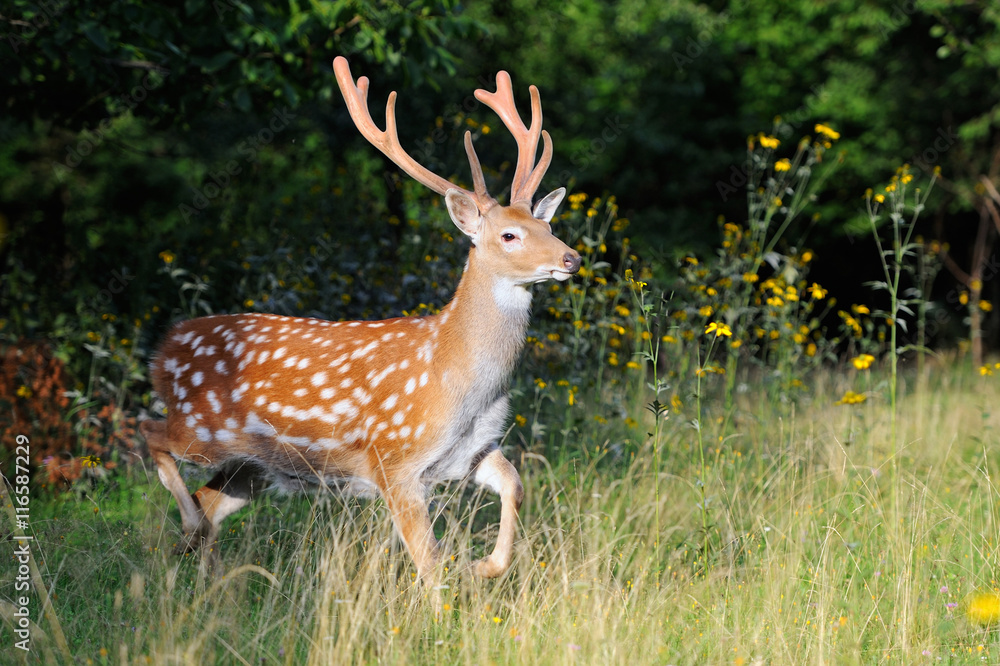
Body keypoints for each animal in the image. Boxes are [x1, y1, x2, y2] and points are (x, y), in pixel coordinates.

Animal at [137, 54, 584, 580]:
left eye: (547, 225)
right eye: (510, 236)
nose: (572, 257)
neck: (458, 379)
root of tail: (163, 350)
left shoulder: (473, 450)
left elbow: (514, 483)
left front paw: (485, 565)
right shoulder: (393, 459)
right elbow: (429, 562)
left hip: (259, 466)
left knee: (208, 498)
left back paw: (206, 572)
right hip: (202, 426)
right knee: (151, 433)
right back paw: (189, 533)